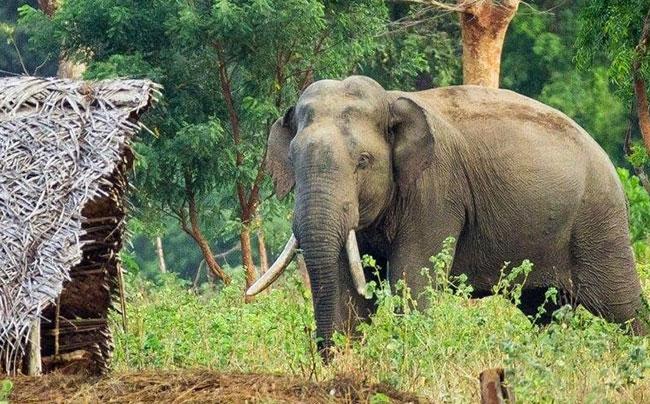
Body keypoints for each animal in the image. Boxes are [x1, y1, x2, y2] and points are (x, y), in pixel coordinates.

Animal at [247, 75, 647, 353]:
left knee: (623, 306)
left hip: (598, 221)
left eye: (363, 161)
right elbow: (349, 287)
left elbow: (412, 279)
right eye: (293, 159)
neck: (390, 99)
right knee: (546, 312)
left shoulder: (435, 190)